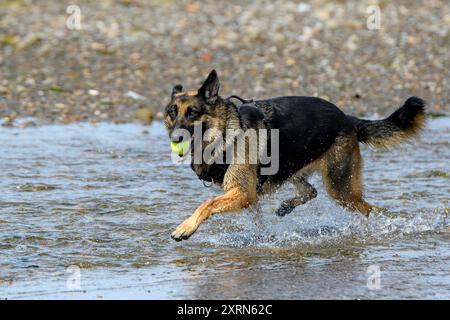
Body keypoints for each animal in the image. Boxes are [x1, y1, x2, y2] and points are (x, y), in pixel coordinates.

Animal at [164, 69, 426, 240]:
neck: (226, 132)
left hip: (340, 188)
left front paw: (186, 227)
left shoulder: (242, 192)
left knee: (368, 209)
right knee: (311, 190)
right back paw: (287, 206)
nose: (175, 138)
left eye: (192, 113)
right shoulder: (247, 196)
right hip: (293, 169)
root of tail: (348, 119)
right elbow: (257, 222)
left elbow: (207, 204)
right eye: (172, 113)